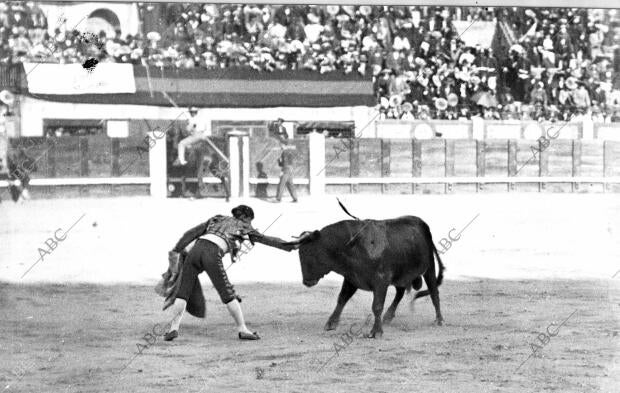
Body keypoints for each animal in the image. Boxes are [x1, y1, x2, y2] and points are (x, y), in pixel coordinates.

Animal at [288, 214, 444, 336]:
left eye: (310, 253)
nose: (307, 281)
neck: (351, 246)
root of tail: (421, 222)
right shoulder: (351, 278)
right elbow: (342, 299)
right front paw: (331, 323)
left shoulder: (380, 281)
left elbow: (377, 306)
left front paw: (376, 332)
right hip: (401, 274)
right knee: (400, 292)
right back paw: (388, 316)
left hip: (429, 267)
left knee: (434, 291)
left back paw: (439, 319)